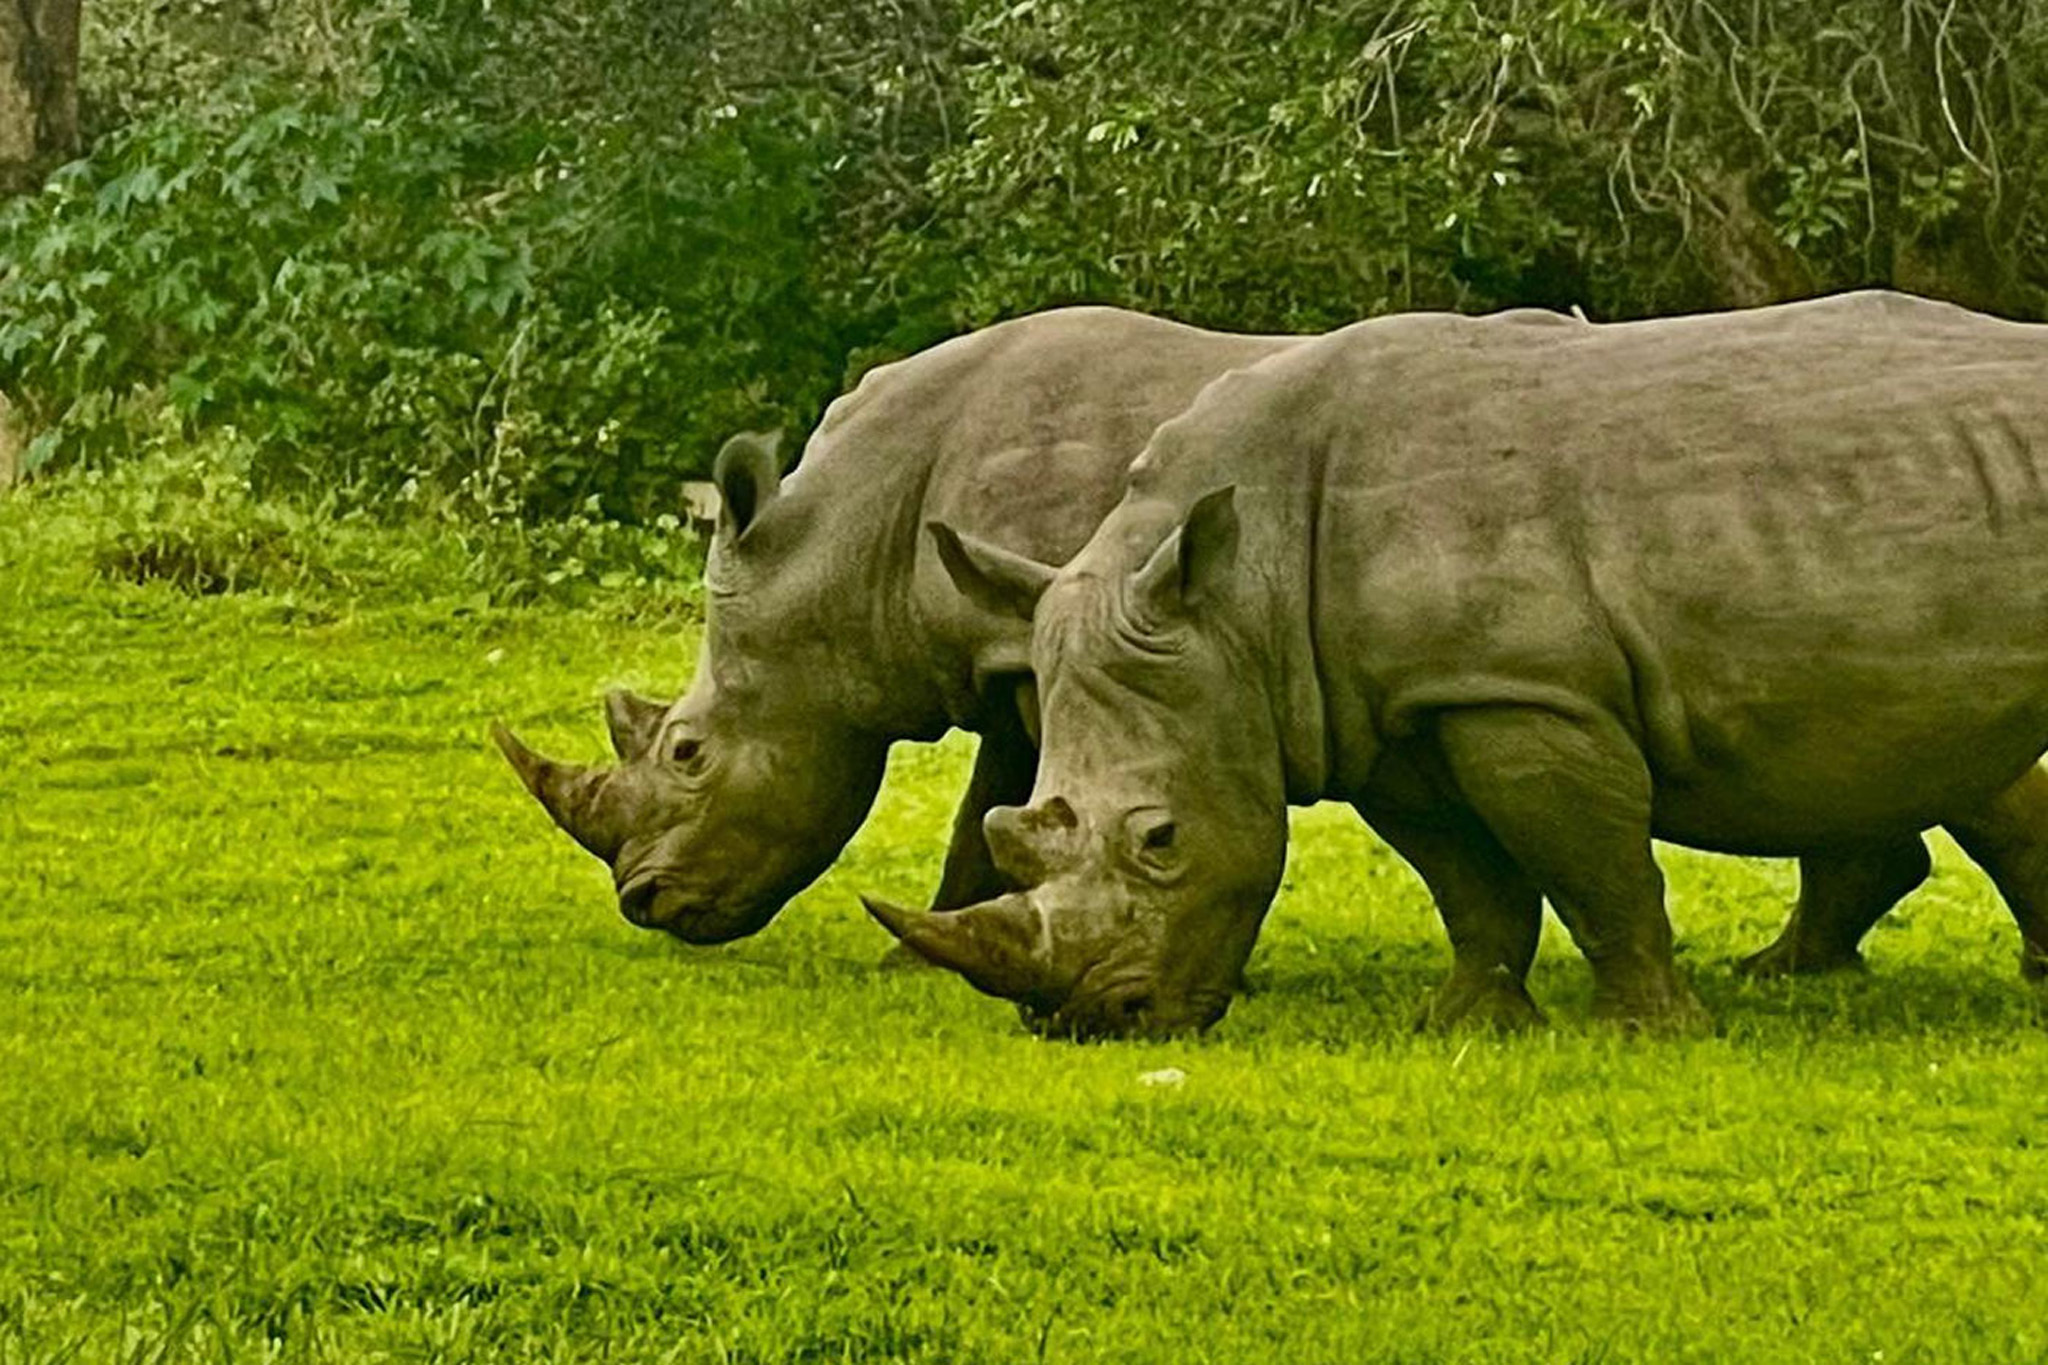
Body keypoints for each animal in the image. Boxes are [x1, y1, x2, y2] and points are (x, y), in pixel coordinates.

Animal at [870, 291, 2048, 1037]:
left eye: (1160, 839)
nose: (1086, 1021)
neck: (1237, 597)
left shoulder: (1520, 689)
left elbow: (1595, 867)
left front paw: (1647, 1033)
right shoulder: (1394, 707)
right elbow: (1468, 880)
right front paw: (1469, 1021)